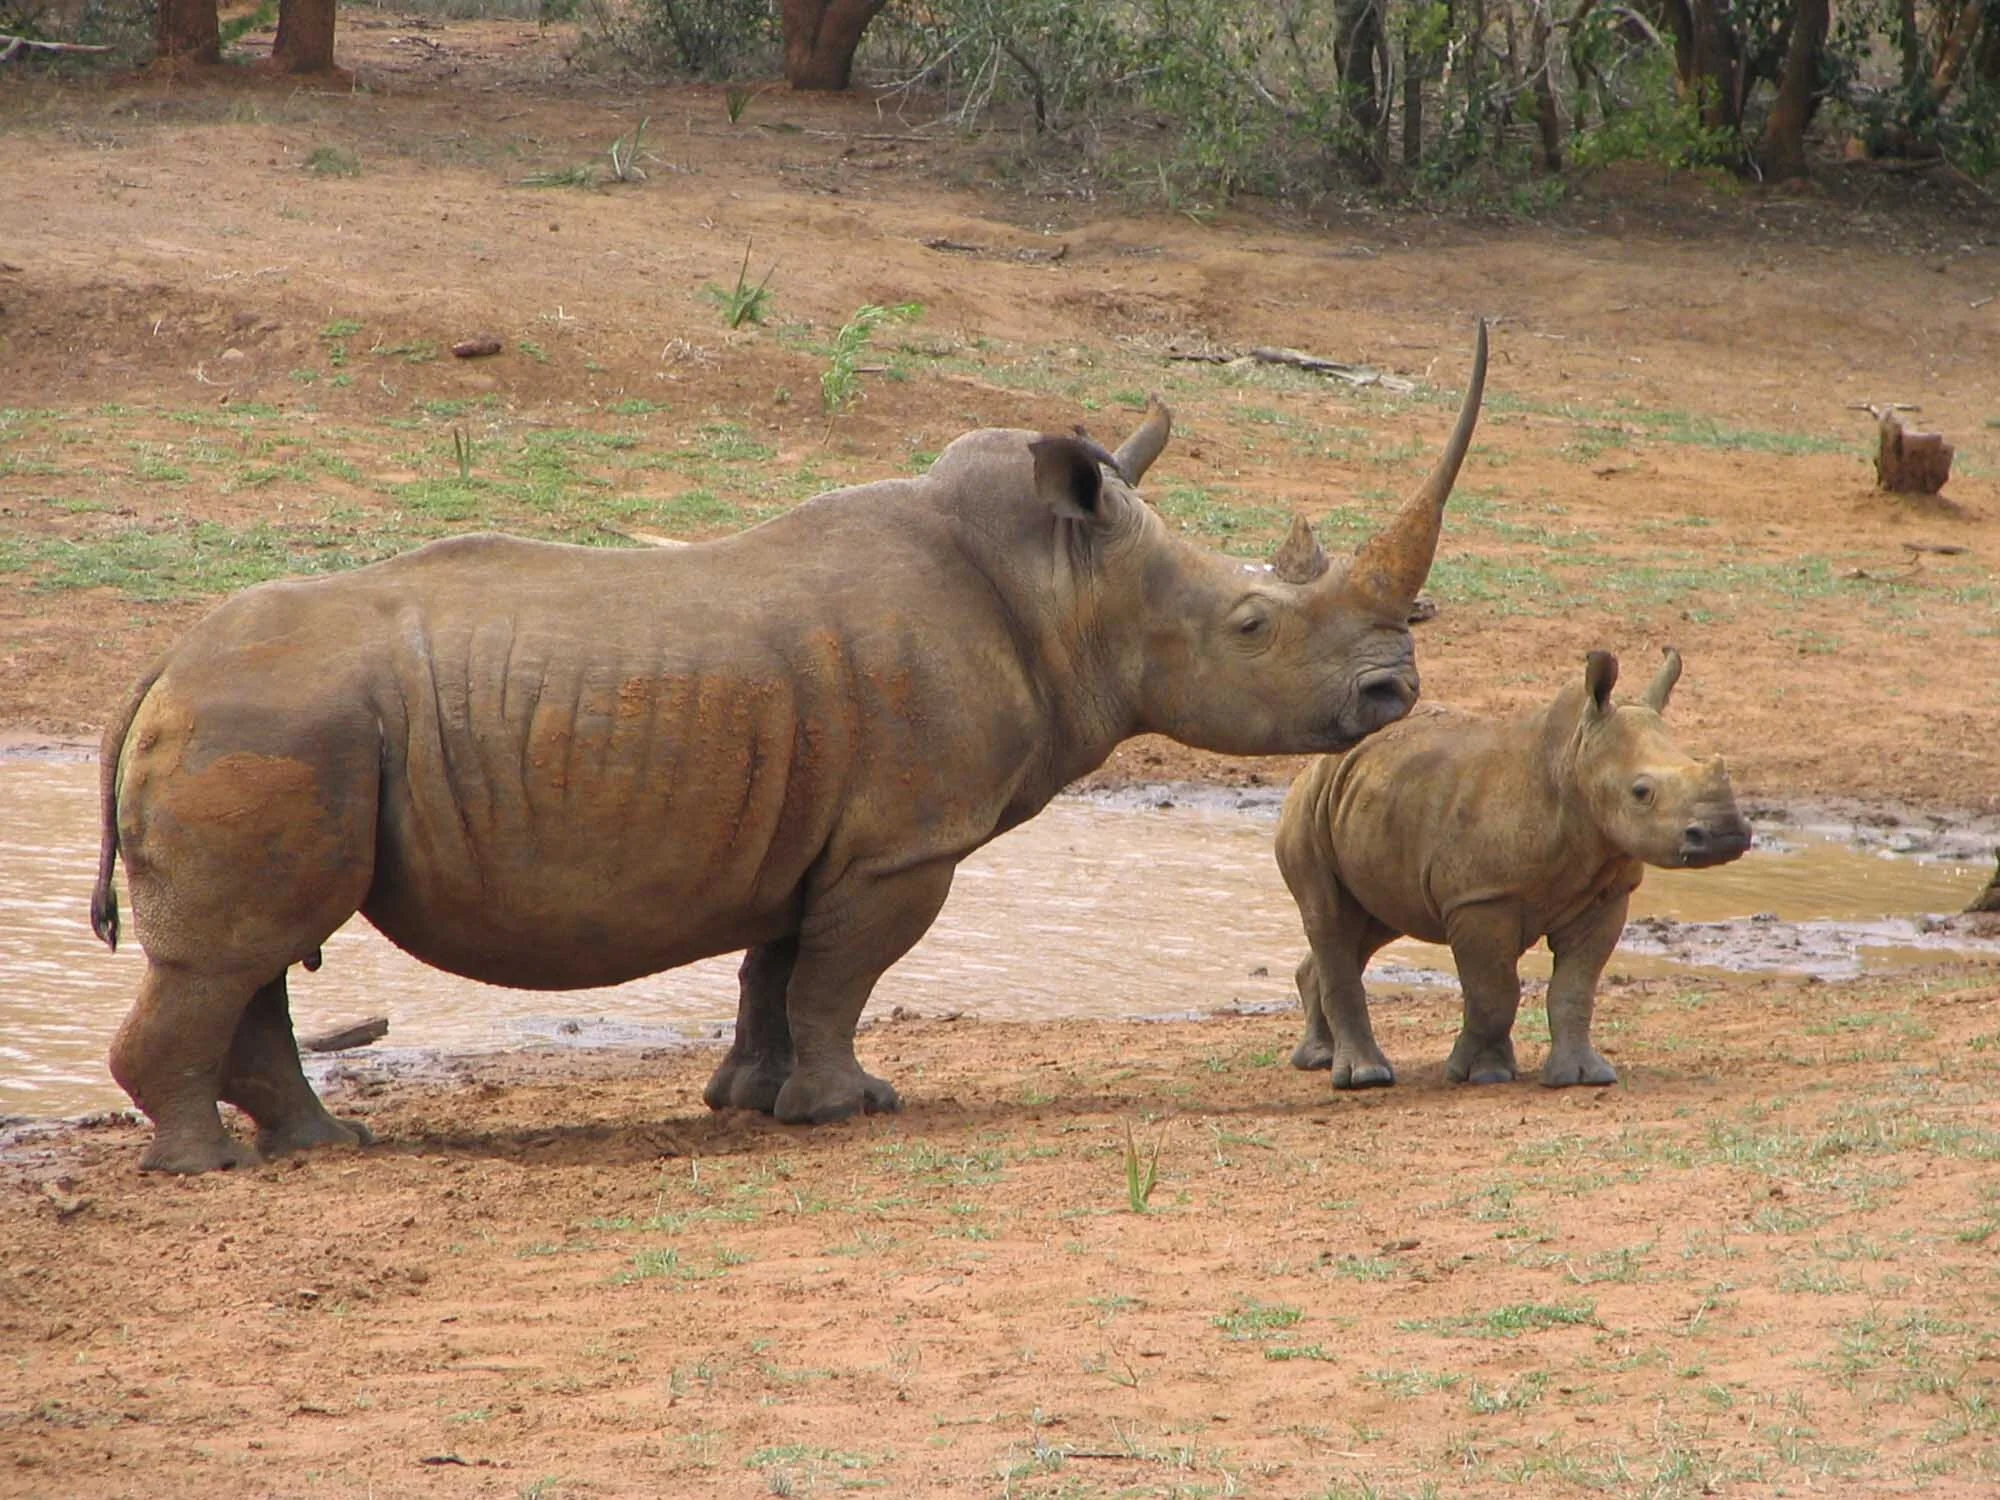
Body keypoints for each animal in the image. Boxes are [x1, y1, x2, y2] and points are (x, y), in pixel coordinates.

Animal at [90, 324, 1487, 1174]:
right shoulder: (899, 844)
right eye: (1252, 625)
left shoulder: (812, 827)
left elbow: (774, 966)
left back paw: (322, 1149)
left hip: (280, 722)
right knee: (236, 951)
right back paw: (214, 1167)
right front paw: (848, 1108)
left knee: (257, 951)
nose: (1393, 690)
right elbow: (837, 977)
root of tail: (158, 664)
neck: (1062, 586)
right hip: (272, 719)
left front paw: (745, 1104)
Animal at [1274, 647, 1750, 1092]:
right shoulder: (1481, 899)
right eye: (1641, 792)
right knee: (1330, 917)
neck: (1573, 763)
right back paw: (1364, 1077)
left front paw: (1583, 1076)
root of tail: (1319, 764)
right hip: (1309, 806)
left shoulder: (1605, 895)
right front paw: (1483, 1075)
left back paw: (1318, 1058)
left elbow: (1575, 989)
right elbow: (1495, 992)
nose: (1726, 833)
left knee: (1373, 922)